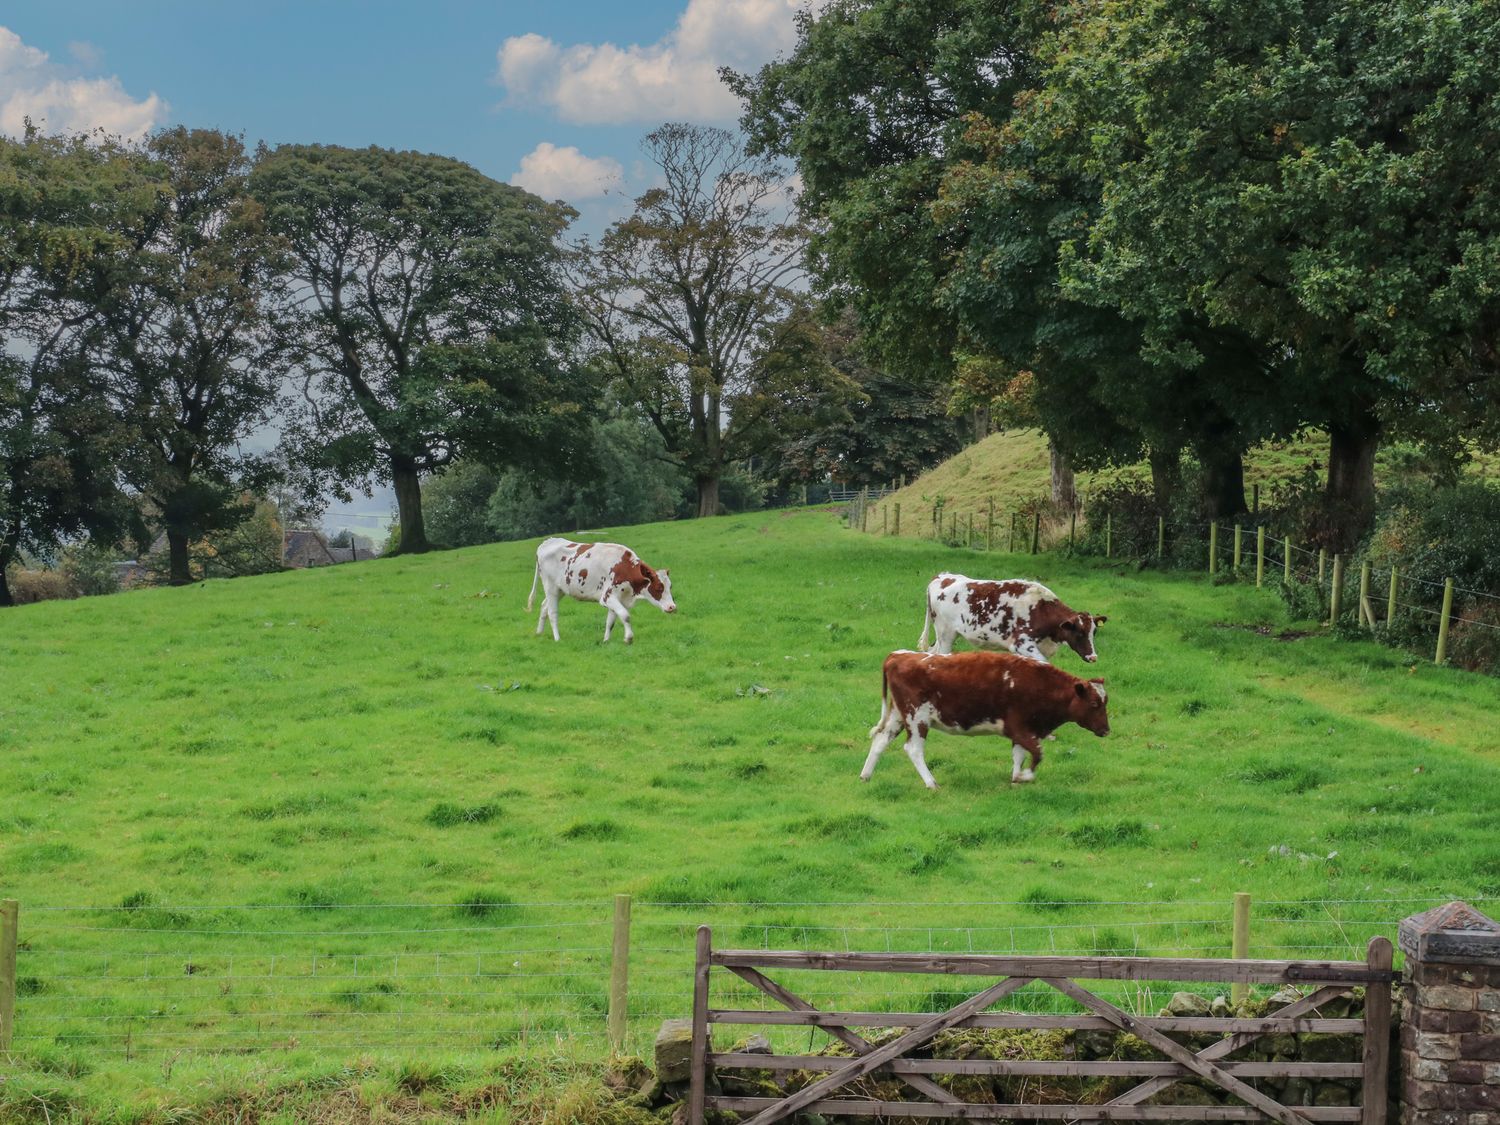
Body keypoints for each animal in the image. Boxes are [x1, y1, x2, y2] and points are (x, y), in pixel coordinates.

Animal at [522, 543, 675, 648]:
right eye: (659, 587)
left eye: (670, 586)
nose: (672, 607)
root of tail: (546, 543)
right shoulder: (607, 597)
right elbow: (625, 615)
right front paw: (629, 638)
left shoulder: (619, 598)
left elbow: (611, 622)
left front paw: (606, 640)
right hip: (550, 587)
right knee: (553, 613)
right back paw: (557, 638)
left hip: (560, 590)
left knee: (544, 607)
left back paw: (539, 633)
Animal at [864, 651, 1110, 792]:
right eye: (1094, 704)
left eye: (1105, 701)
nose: (1106, 730)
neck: (1040, 685)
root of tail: (898, 656)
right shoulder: (1019, 728)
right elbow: (1037, 754)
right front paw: (1025, 776)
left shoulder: (1024, 731)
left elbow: (1019, 756)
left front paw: (1016, 778)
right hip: (917, 718)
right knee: (913, 749)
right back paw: (931, 783)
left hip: (898, 715)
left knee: (881, 739)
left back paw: (866, 776)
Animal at [906, 576, 1110, 666]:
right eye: (1079, 632)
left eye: (1094, 632)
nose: (1093, 657)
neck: (1041, 609)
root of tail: (942, 577)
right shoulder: (1022, 644)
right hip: (945, 634)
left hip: (945, 635)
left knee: (931, 652)